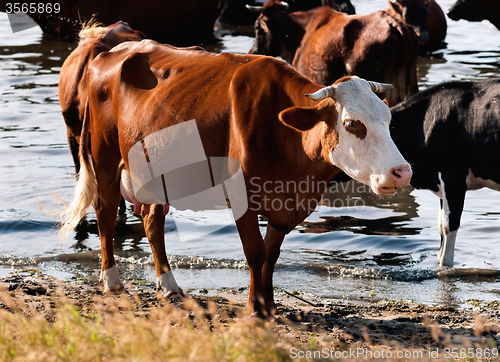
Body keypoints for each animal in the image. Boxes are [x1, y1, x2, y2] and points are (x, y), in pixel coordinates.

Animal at [59, 36, 410, 316]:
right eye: (352, 124)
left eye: (389, 118)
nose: (402, 172)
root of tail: (111, 51)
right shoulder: (242, 194)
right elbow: (255, 253)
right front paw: (255, 308)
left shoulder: (285, 203)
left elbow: (271, 255)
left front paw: (269, 305)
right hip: (103, 156)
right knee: (106, 215)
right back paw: (112, 281)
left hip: (156, 170)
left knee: (152, 221)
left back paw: (169, 285)